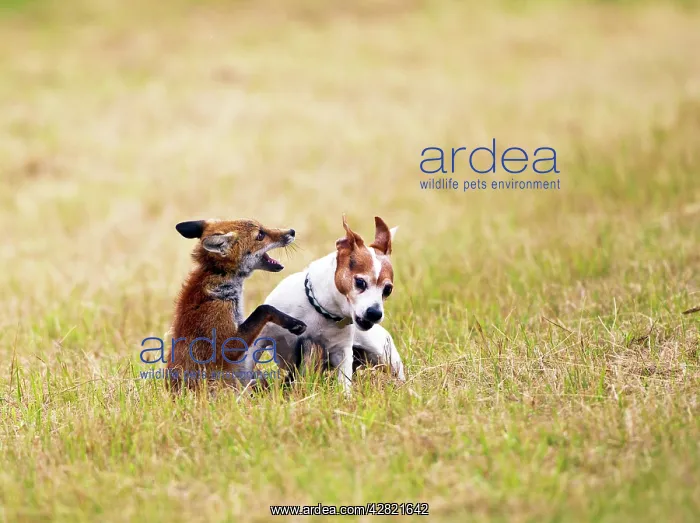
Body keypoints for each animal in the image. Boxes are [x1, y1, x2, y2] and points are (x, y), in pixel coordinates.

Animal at [167, 218, 307, 391]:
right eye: (260, 235)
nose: (292, 231)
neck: (219, 277)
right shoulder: (224, 344)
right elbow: (264, 308)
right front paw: (293, 323)